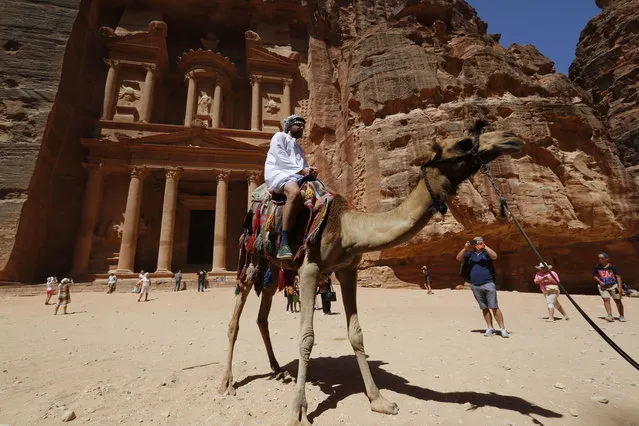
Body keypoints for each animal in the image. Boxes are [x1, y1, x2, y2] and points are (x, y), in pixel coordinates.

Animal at [218, 125, 524, 422]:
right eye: (462, 143)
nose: (511, 138)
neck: (347, 228)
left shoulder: (347, 270)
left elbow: (356, 334)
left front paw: (379, 400)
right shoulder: (310, 269)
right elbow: (306, 337)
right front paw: (298, 410)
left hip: (272, 268)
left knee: (262, 316)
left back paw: (278, 369)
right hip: (252, 259)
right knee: (234, 320)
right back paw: (227, 383)